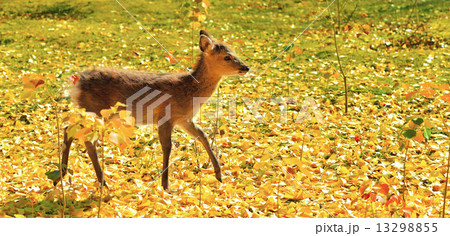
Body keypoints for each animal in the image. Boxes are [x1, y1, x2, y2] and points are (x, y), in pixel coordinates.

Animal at [53, 30, 250, 191]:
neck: (189, 91)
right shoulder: (165, 116)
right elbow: (168, 147)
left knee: (69, 130)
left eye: (235, 52)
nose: (246, 67)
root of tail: (77, 82)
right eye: (227, 57)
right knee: (87, 140)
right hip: (97, 111)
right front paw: (165, 185)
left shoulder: (184, 119)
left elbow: (203, 136)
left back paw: (61, 176)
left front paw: (219, 175)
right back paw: (103, 183)